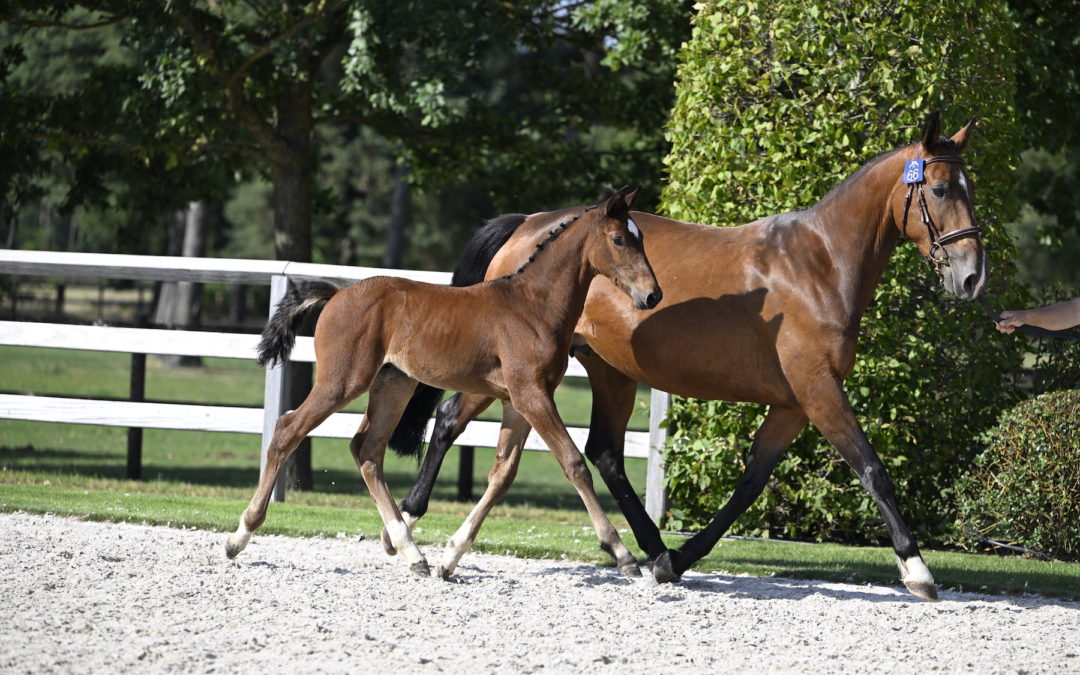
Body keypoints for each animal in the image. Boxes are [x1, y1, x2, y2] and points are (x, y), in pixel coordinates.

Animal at [225, 185, 656, 578]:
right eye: (619, 239)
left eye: (642, 238)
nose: (653, 295)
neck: (533, 305)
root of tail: (337, 294)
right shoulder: (531, 396)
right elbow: (573, 463)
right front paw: (622, 553)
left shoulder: (519, 400)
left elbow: (502, 476)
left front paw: (451, 557)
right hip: (342, 381)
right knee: (288, 429)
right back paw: (239, 536)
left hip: (393, 385)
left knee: (367, 450)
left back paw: (412, 553)